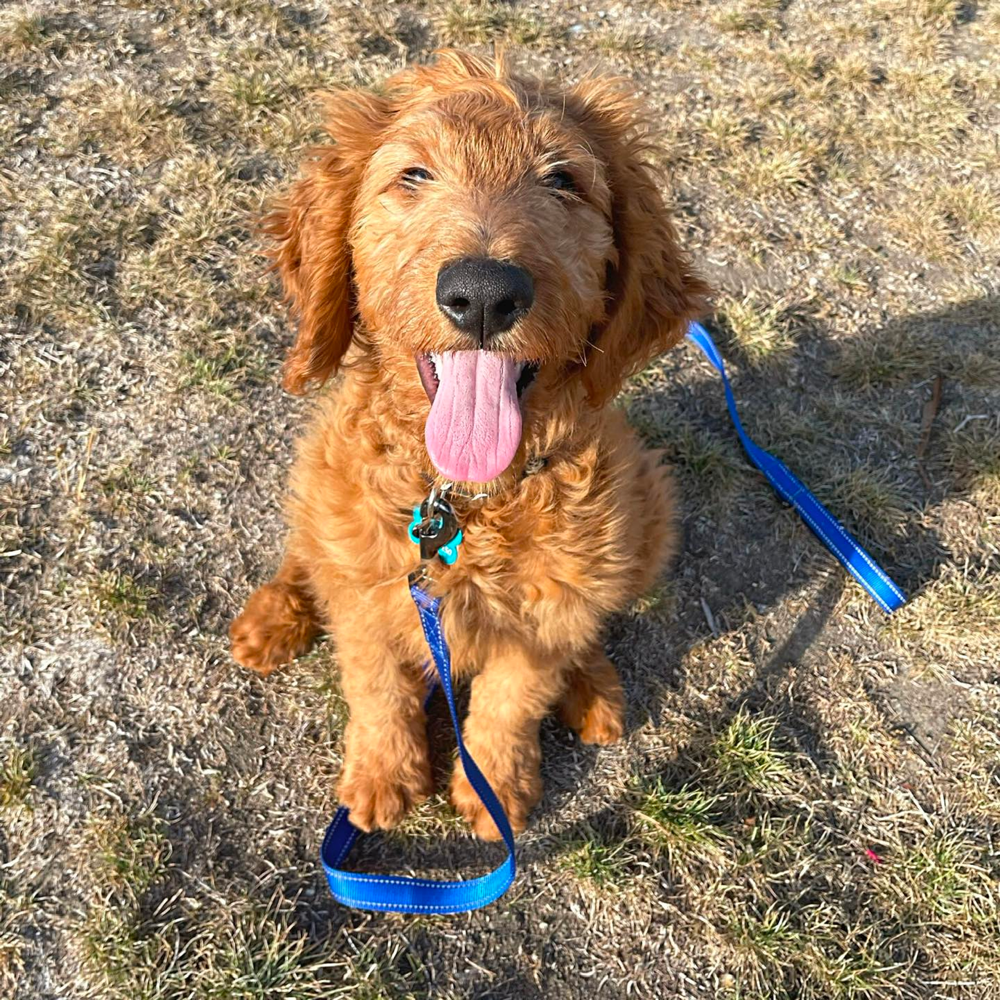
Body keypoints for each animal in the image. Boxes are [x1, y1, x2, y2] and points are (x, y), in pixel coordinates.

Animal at [230, 50, 708, 840]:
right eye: (414, 174)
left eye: (563, 181)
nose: (483, 293)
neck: (464, 500)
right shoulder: (372, 599)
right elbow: (378, 686)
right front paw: (382, 778)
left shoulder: (543, 618)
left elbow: (513, 699)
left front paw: (495, 792)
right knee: (310, 552)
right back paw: (273, 618)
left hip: (650, 507)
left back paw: (594, 689)